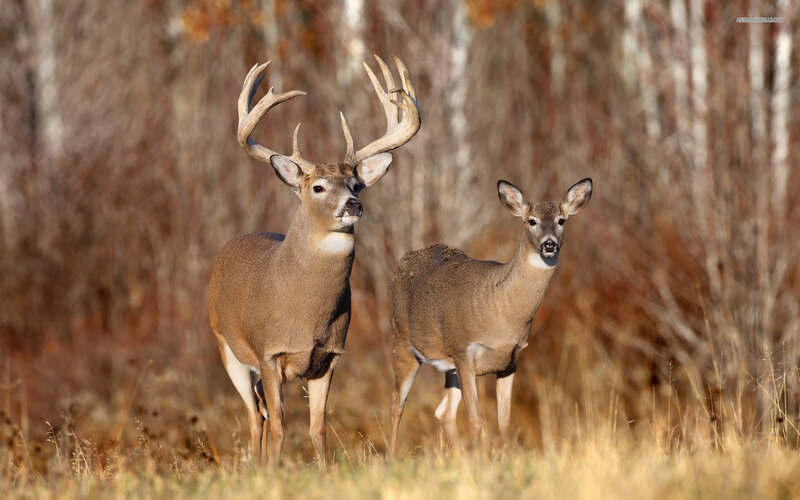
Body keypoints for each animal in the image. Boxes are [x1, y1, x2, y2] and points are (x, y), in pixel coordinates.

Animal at [208, 55, 420, 467]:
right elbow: (279, 427)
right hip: (227, 347)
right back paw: (255, 467)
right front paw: (273, 471)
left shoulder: (329, 357)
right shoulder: (269, 351)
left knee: (258, 413)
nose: (353, 205)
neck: (306, 314)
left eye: (356, 185)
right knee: (255, 417)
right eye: (318, 187)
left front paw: (322, 471)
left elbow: (317, 428)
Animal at [388, 178, 592, 455]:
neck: (501, 312)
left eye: (561, 220)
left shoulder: (511, 360)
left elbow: (503, 420)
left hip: (449, 367)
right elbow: (476, 420)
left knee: (443, 412)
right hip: (402, 341)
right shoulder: (464, 350)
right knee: (397, 403)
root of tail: (403, 260)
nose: (549, 244)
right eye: (531, 221)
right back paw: (391, 456)